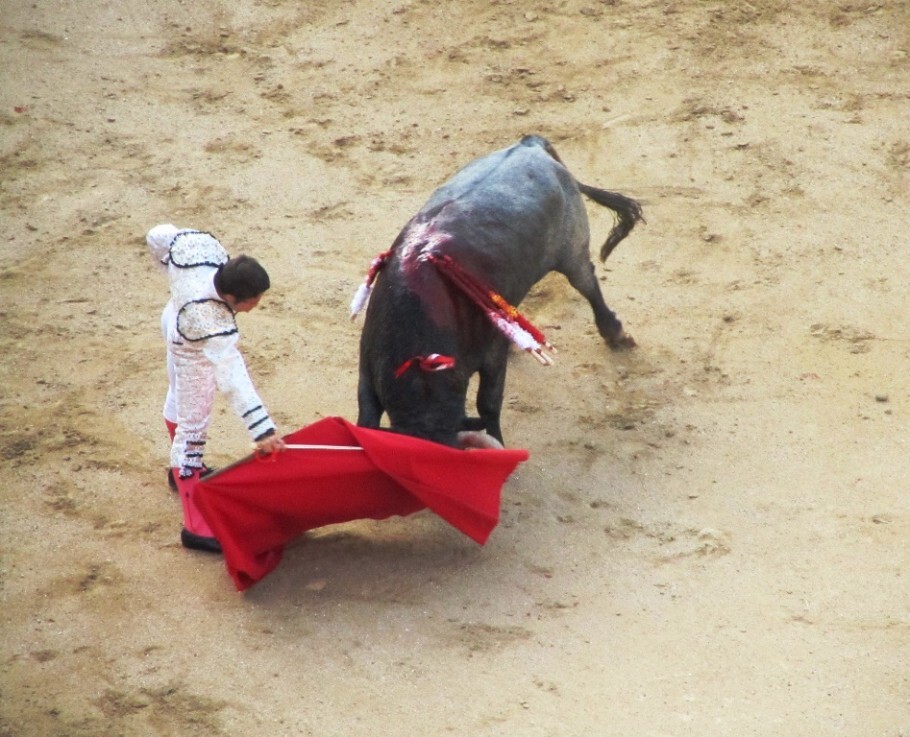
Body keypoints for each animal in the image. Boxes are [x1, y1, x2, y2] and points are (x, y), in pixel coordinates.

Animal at [352, 136, 644, 452]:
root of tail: (530, 144)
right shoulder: (367, 371)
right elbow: (366, 414)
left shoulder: (491, 355)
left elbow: (488, 403)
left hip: (572, 251)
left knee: (587, 284)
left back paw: (616, 334)